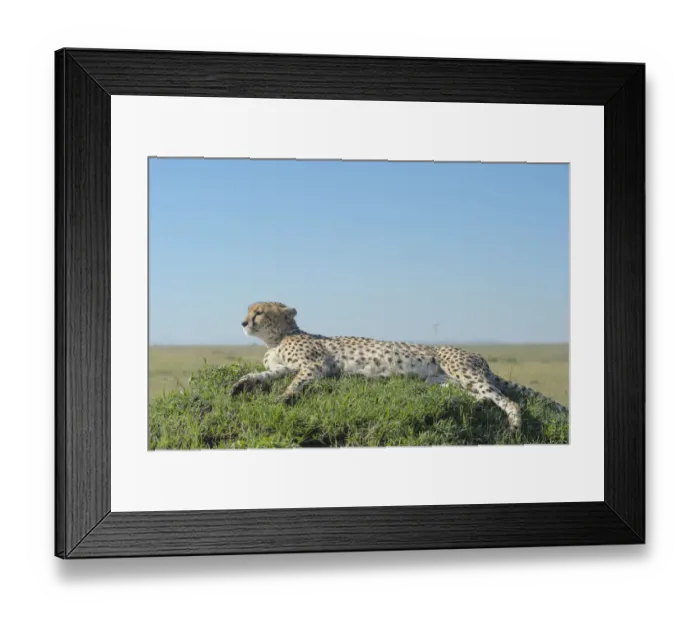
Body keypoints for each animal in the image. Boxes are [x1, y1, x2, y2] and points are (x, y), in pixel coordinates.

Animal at [230, 301, 568, 430]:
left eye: (259, 312)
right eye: (248, 311)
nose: (243, 322)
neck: (276, 339)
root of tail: (479, 357)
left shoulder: (315, 366)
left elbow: (293, 383)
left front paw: (282, 398)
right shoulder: (285, 366)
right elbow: (263, 374)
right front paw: (240, 384)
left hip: (462, 370)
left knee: (507, 399)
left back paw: (514, 426)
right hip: (442, 382)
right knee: (480, 397)